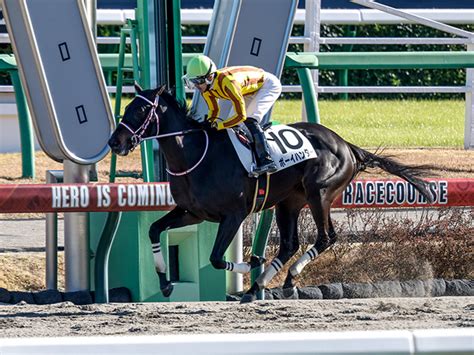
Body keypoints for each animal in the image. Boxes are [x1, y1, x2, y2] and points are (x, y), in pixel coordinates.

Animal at [107, 84, 434, 304]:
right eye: (126, 107)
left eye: (140, 109)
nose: (115, 141)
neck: (196, 154)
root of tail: (347, 145)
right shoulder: (192, 212)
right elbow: (153, 229)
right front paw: (164, 281)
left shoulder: (234, 214)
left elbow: (215, 258)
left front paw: (252, 262)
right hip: (289, 202)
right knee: (290, 244)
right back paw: (257, 288)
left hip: (319, 194)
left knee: (326, 237)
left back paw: (285, 278)